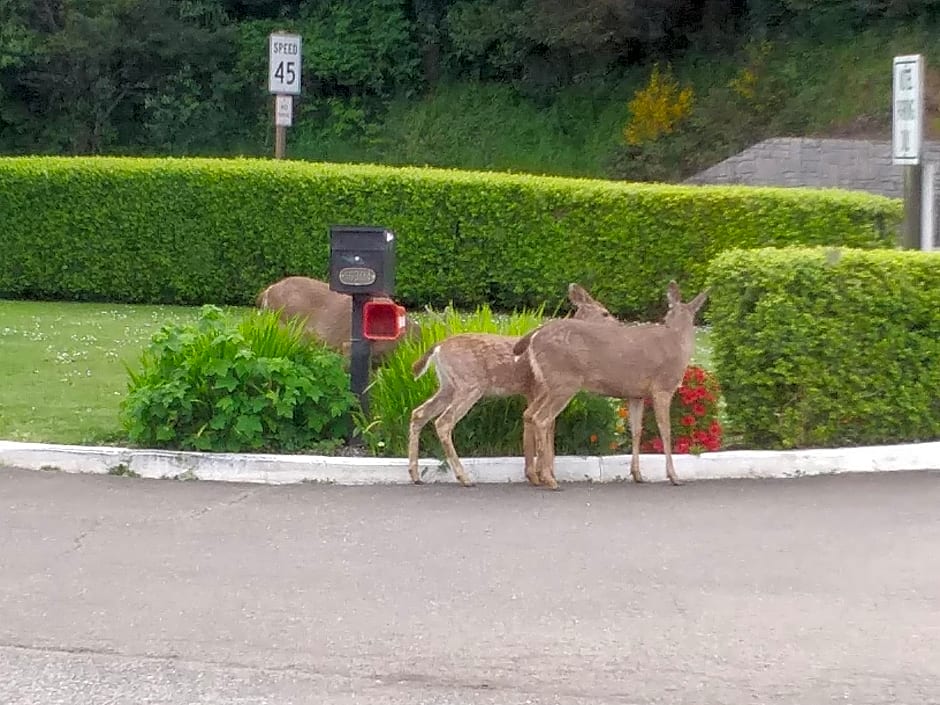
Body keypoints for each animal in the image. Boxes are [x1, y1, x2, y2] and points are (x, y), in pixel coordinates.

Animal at [406, 284, 616, 486]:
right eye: (605, 313)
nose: (618, 324)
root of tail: (437, 348)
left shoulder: (531, 392)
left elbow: (534, 424)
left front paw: (536, 475)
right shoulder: (540, 389)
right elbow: (546, 426)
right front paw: (544, 475)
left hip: (448, 385)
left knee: (419, 413)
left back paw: (415, 475)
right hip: (470, 384)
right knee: (443, 422)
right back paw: (464, 478)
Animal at [516, 280, 704, 490]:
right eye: (605, 313)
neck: (677, 342)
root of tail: (534, 337)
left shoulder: (636, 394)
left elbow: (636, 430)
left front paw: (637, 474)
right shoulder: (662, 387)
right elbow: (666, 430)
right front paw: (673, 476)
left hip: (548, 384)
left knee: (530, 414)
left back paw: (537, 476)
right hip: (564, 382)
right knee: (542, 419)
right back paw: (550, 480)